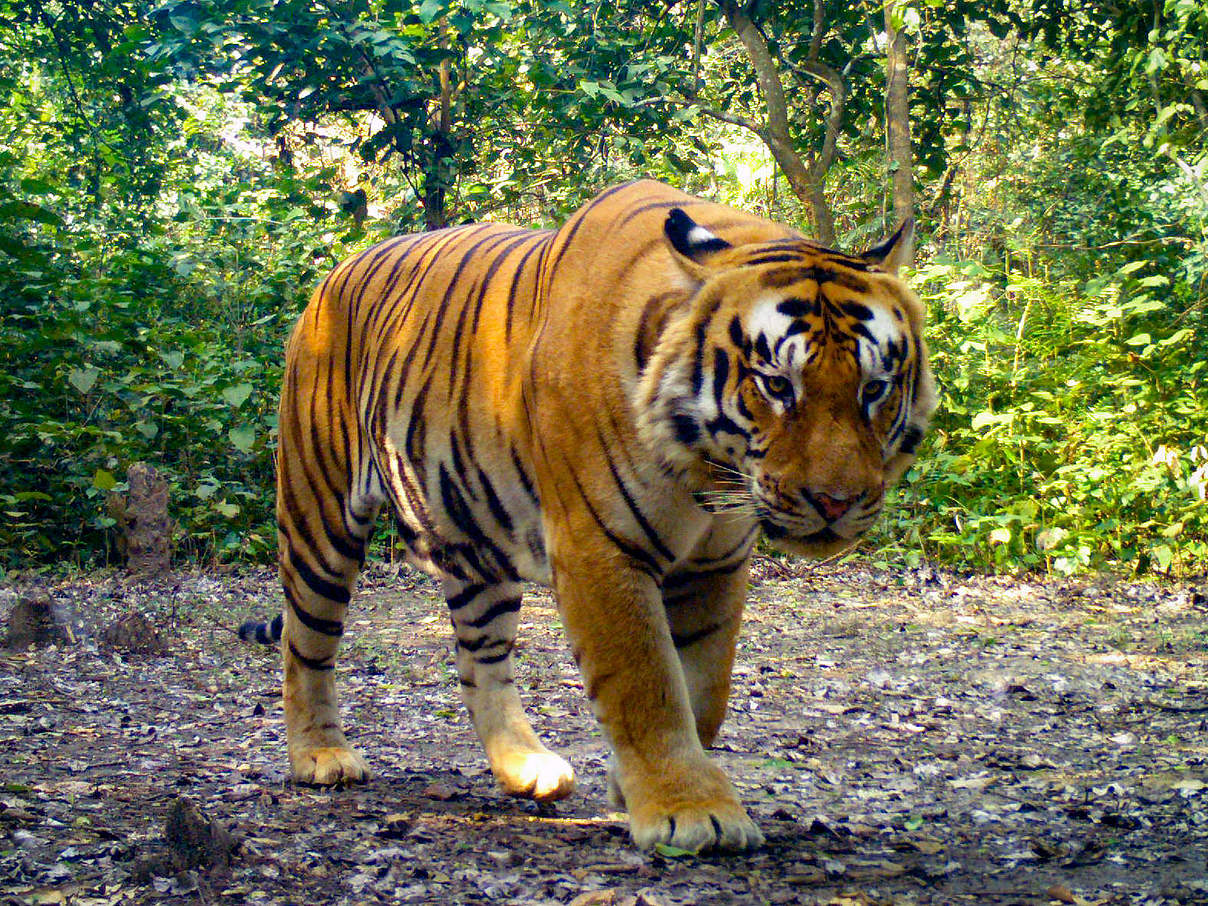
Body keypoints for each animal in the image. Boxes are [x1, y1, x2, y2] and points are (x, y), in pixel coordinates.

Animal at [235, 178, 932, 850]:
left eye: (874, 388)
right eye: (777, 385)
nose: (836, 502)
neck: (708, 469)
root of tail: (335, 271)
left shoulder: (717, 563)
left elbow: (705, 686)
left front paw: (644, 787)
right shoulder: (600, 548)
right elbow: (647, 684)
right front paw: (691, 811)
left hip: (476, 544)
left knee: (480, 660)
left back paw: (526, 768)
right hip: (319, 516)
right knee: (306, 644)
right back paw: (321, 755)